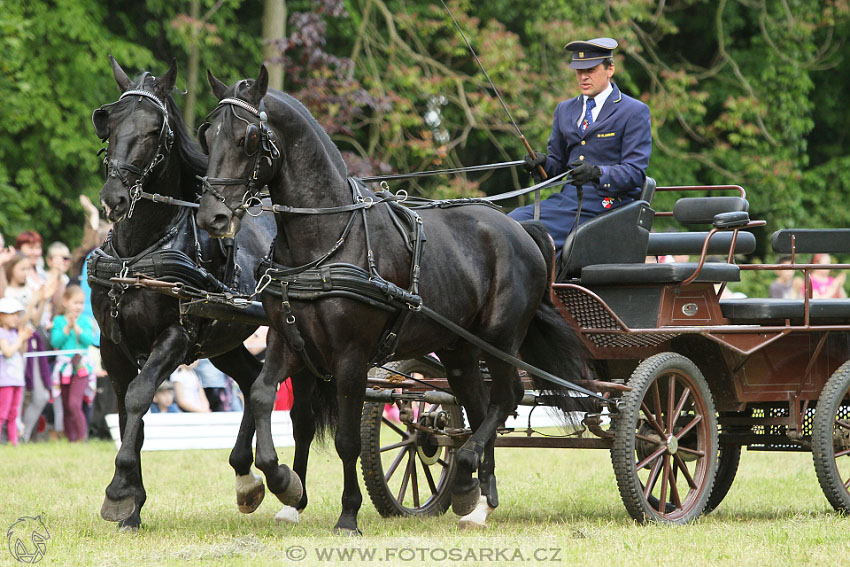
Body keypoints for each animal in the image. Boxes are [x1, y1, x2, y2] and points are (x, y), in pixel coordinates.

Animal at [89, 55, 274, 532]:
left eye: (155, 129)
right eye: (108, 123)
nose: (114, 199)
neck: (138, 250)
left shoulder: (175, 336)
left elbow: (139, 396)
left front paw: (118, 493)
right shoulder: (111, 345)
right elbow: (127, 411)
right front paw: (132, 504)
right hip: (225, 339)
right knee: (251, 378)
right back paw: (246, 476)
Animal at [195, 67, 588, 536]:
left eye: (249, 138)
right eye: (207, 134)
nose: (212, 217)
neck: (327, 239)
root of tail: (518, 228)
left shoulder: (351, 356)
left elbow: (347, 440)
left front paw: (347, 514)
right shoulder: (287, 341)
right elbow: (259, 395)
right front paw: (278, 483)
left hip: (501, 339)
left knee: (506, 398)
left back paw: (470, 479)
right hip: (459, 349)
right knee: (479, 406)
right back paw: (476, 498)